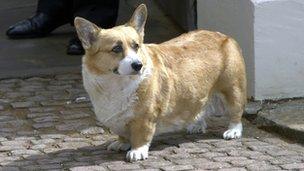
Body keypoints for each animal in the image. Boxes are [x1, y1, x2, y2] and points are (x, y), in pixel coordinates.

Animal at [74, 4, 247, 162]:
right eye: (116, 49)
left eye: (136, 46)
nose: (138, 65)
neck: (115, 84)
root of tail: (224, 36)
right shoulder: (118, 119)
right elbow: (122, 134)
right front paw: (121, 143)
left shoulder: (145, 117)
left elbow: (141, 136)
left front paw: (137, 151)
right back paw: (197, 125)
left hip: (232, 90)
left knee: (236, 113)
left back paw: (233, 131)